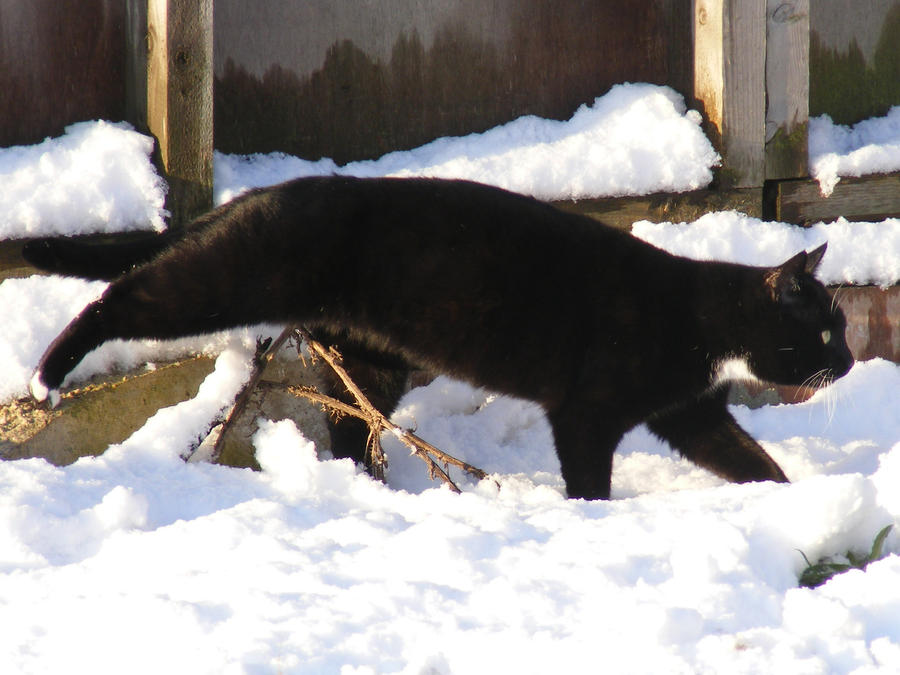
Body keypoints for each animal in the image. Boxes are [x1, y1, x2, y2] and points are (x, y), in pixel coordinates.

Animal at [21, 177, 852, 500]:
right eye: (823, 327)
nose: (847, 359)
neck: (705, 319)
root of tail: (259, 192)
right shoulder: (587, 412)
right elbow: (590, 476)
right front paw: (592, 519)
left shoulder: (691, 412)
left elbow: (749, 458)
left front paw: (787, 498)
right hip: (230, 278)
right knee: (122, 296)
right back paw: (46, 376)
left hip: (370, 359)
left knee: (351, 426)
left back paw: (369, 490)